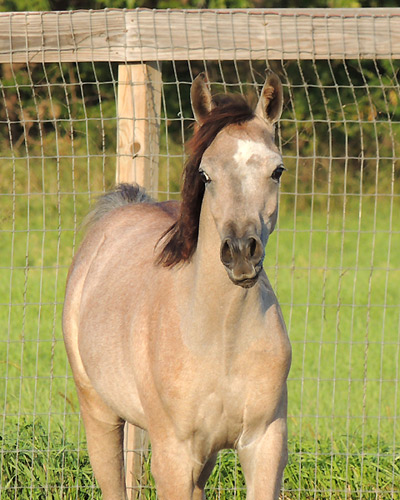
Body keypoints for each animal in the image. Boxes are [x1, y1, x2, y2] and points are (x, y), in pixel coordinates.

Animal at [64, 70, 292, 500]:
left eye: (277, 170)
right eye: (205, 174)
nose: (241, 251)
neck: (220, 338)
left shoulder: (264, 444)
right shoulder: (173, 456)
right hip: (100, 416)